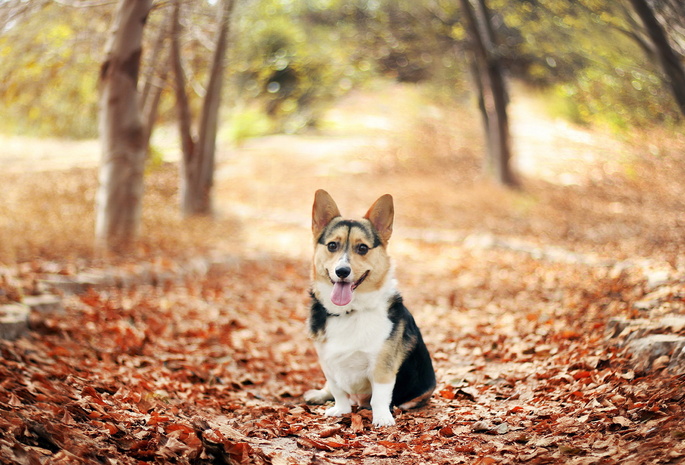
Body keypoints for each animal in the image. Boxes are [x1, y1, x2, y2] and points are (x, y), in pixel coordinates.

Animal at [304, 189, 432, 428]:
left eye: (362, 248)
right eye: (332, 245)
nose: (342, 271)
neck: (349, 311)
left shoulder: (382, 366)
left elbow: (379, 396)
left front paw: (382, 418)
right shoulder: (328, 363)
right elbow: (338, 391)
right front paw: (340, 410)